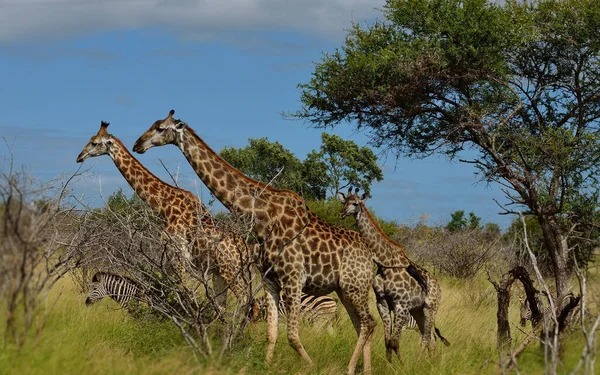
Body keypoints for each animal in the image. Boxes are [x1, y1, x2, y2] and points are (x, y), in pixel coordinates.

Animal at [75, 122, 253, 310]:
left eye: (94, 143)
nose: (79, 156)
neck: (164, 207)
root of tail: (246, 249)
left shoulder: (179, 257)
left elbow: (184, 293)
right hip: (220, 272)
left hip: (230, 270)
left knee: (244, 299)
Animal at [133, 110, 376, 374]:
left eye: (160, 128)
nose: (137, 144)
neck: (264, 218)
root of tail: (372, 256)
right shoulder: (270, 281)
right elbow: (272, 333)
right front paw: (266, 365)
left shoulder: (293, 279)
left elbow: (292, 336)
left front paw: (311, 366)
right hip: (345, 289)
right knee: (362, 325)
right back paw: (365, 370)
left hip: (355, 287)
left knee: (369, 323)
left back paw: (351, 369)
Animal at [338, 188, 450, 364]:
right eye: (344, 202)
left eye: (355, 203)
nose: (342, 213)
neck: (385, 263)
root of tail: (438, 287)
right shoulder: (382, 302)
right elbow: (387, 341)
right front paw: (389, 365)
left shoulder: (401, 305)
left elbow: (394, 341)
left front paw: (401, 365)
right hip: (418, 311)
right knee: (430, 339)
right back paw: (430, 363)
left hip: (430, 309)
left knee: (426, 338)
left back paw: (418, 364)